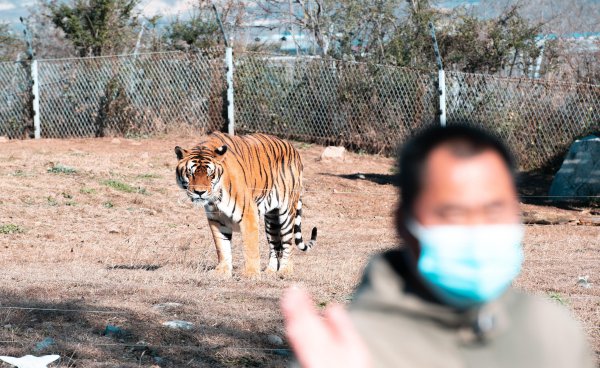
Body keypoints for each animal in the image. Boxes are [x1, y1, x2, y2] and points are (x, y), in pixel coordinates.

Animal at [175, 131, 318, 278]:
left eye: (210, 174)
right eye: (190, 173)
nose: (199, 192)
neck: (215, 198)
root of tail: (293, 149)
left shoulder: (248, 214)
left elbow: (251, 248)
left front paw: (251, 274)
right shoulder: (216, 219)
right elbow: (222, 246)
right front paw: (222, 271)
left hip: (286, 212)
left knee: (287, 243)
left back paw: (285, 270)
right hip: (271, 219)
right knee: (275, 246)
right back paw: (270, 271)